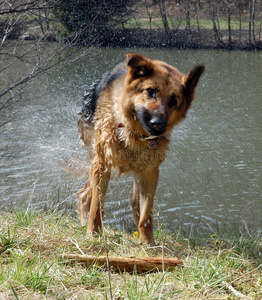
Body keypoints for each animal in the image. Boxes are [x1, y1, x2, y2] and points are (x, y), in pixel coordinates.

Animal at [77, 54, 204, 245]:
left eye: (173, 101)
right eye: (150, 91)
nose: (158, 125)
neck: (135, 135)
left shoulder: (149, 173)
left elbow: (146, 215)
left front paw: (149, 244)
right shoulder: (102, 165)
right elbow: (97, 207)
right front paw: (92, 234)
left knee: (131, 201)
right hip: (98, 163)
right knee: (86, 194)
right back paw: (85, 221)